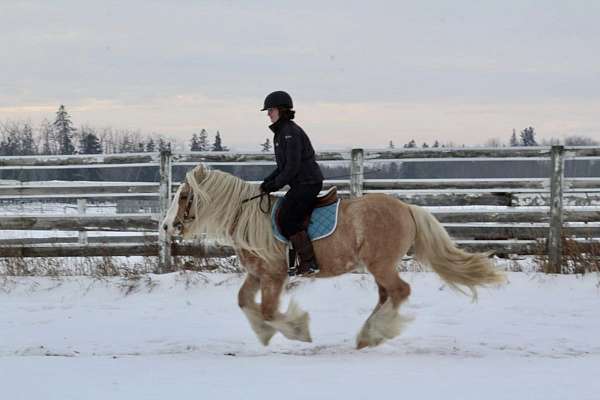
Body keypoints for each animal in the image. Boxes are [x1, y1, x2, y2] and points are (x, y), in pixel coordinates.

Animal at [162, 164, 504, 348]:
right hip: (378, 267)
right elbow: (245, 302)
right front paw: (265, 334)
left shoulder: (274, 274)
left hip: (381, 264)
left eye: (184, 195)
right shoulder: (257, 274)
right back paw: (368, 335)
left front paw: (299, 330)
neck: (249, 219)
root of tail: (407, 208)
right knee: (387, 295)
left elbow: (270, 311)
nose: (167, 226)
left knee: (400, 291)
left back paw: (374, 333)